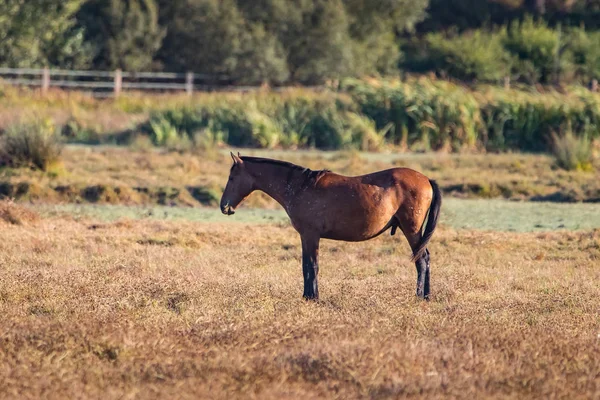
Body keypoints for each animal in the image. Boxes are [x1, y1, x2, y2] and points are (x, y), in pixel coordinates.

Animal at [220, 152, 440, 300]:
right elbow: (306, 266)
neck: (299, 187)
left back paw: (419, 296)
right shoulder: (306, 236)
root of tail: (426, 179)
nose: (224, 206)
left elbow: (312, 265)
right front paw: (307, 296)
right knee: (426, 259)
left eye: (231, 177)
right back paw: (427, 296)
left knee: (421, 260)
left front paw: (312, 297)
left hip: (411, 229)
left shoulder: (310, 235)